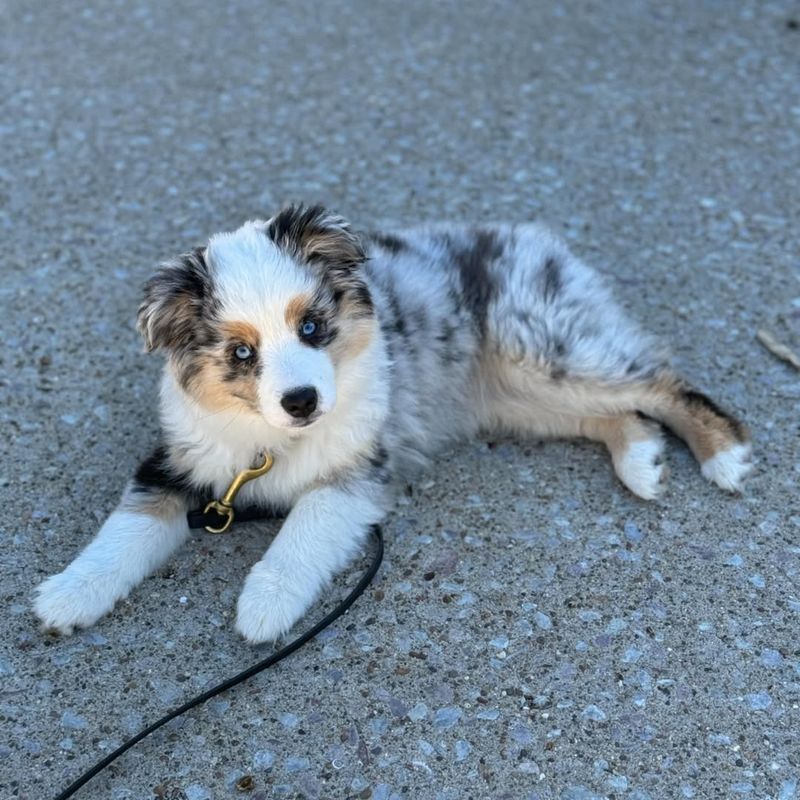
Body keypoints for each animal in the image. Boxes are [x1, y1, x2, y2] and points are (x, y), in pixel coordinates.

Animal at [32, 205, 752, 644]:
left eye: (312, 327)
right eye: (240, 353)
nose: (302, 401)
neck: (273, 442)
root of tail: (533, 239)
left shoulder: (357, 471)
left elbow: (300, 535)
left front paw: (264, 606)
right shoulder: (177, 460)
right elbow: (123, 532)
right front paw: (68, 595)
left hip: (543, 350)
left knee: (659, 381)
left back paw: (723, 453)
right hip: (515, 396)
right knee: (615, 412)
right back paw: (641, 459)